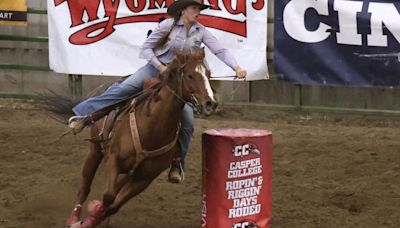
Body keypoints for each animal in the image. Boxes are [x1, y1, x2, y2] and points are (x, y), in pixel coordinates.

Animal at [42, 47, 217, 227]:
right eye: (190, 75)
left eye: (209, 74)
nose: (210, 103)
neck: (152, 129)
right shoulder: (113, 160)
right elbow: (108, 197)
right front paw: (89, 220)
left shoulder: (143, 179)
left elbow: (113, 205)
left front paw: (95, 218)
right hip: (95, 150)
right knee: (85, 184)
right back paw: (74, 218)